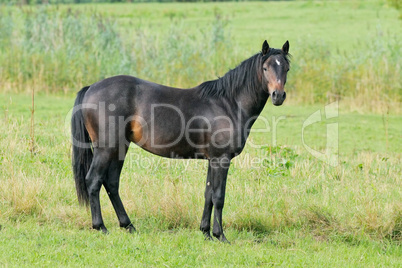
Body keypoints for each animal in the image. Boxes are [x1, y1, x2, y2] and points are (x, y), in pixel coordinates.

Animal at [72, 40, 290, 243]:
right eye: (265, 68)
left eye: (286, 68)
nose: (278, 95)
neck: (228, 104)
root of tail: (91, 88)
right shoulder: (221, 159)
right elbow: (219, 196)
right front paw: (220, 235)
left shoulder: (212, 160)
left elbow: (208, 194)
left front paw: (206, 233)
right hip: (106, 149)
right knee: (93, 180)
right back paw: (101, 227)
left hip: (119, 148)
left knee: (111, 183)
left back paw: (129, 226)